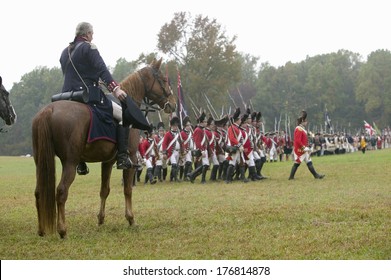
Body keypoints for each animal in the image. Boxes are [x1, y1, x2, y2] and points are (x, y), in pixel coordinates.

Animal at [32, 58, 176, 237]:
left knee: (39, 192)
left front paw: (100, 219)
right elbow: (127, 189)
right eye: (163, 80)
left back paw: (41, 230)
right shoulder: (131, 158)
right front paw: (131, 219)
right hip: (70, 163)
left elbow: (104, 190)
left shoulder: (107, 161)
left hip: (40, 162)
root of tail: (49, 110)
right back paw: (62, 230)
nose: (173, 104)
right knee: (61, 191)